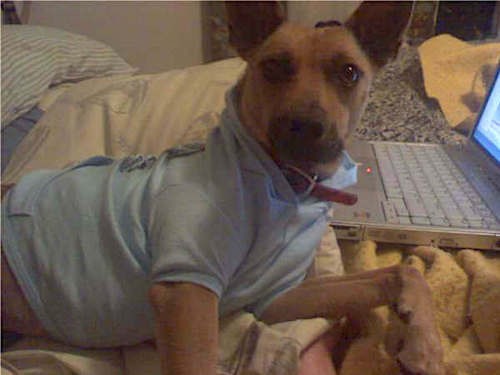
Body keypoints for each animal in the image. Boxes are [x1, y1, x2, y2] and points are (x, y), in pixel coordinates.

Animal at [1, 2, 444, 375]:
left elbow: (403, 271)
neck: (286, 184)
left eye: (349, 72)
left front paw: (426, 344)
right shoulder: (186, 291)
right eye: (274, 65)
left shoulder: (280, 297)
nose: (305, 127)